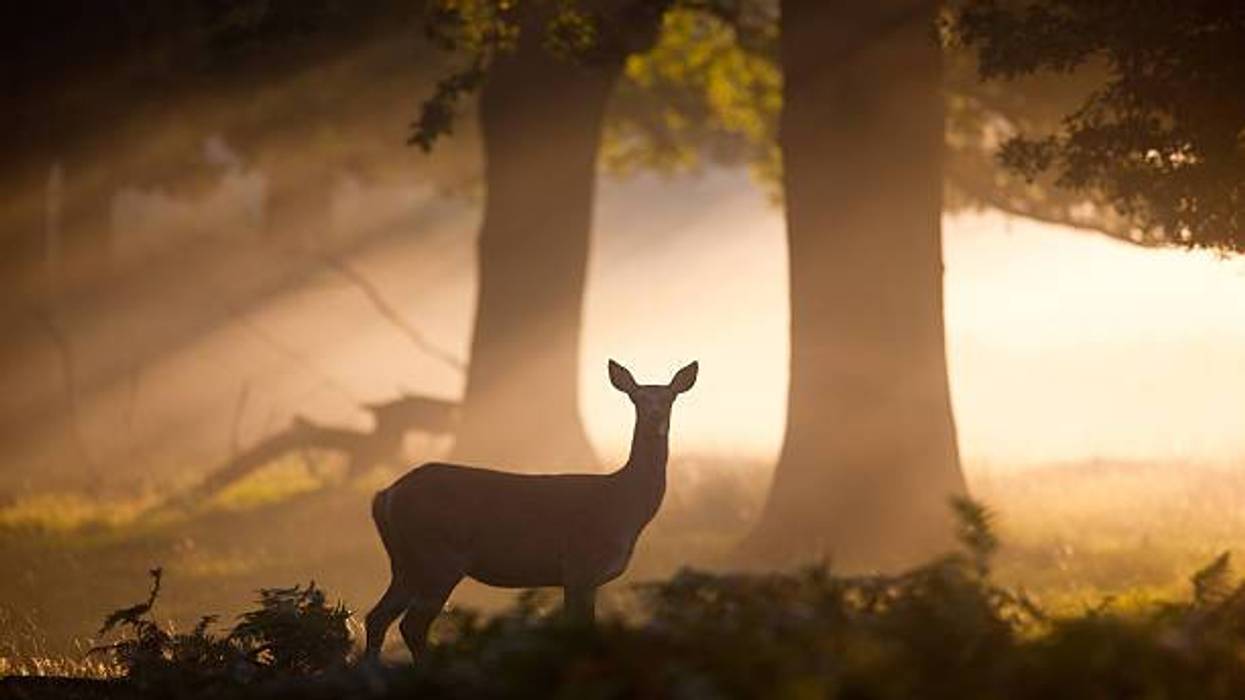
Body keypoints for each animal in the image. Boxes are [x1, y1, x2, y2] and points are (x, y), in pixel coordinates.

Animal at [363, 359, 698, 661]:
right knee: (412, 625)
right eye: (637, 397)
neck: (624, 505)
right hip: (438, 556)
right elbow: (579, 631)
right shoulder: (579, 565)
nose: (655, 416)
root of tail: (385, 495)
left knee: (377, 618)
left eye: (669, 397)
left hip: (405, 562)